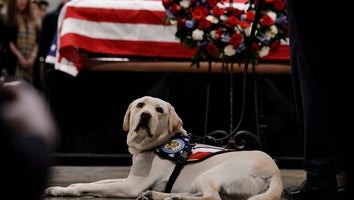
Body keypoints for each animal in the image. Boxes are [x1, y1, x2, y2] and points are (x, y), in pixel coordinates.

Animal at [44, 96, 284, 199]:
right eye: (140, 105)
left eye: (159, 110)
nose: (145, 115)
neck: (156, 144)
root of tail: (275, 172)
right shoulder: (129, 178)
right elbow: (96, 181)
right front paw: (69, 185)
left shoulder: (131, 186)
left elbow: (93, 186)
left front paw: (63, 190)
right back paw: (163, 195)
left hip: (209, 175)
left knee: (212, 198)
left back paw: (167, 197)